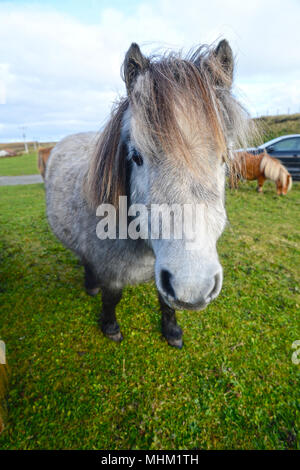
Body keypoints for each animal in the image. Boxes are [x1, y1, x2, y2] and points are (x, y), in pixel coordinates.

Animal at [45, 41, 251, 348]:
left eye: (224, 158)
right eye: (136, 157)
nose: (192, 286)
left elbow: (165, 301)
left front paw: (172, 330)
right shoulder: (111, 271)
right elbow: (112, 297)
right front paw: (110, 326)